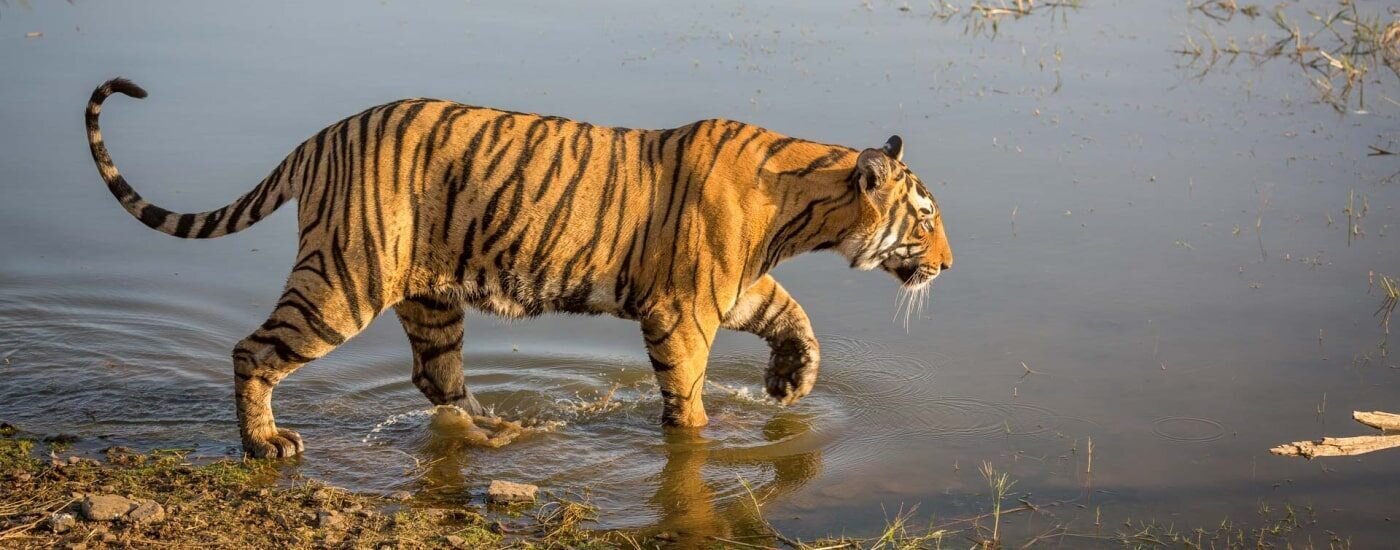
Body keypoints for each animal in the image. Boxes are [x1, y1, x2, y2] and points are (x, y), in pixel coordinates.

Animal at [84, 75, 952, 453]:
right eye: (927, 217)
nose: (947, 265)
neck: (802, 205)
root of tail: (322, 136)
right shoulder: (683, 310)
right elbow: (689, 393)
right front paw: (704, 435)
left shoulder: (732, 289)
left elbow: (792, 316)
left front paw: (788, 384)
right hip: (343, 280)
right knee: (253, 350)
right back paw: (266, 444)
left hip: (429, 296)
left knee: (436, 379)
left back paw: (499, 431)